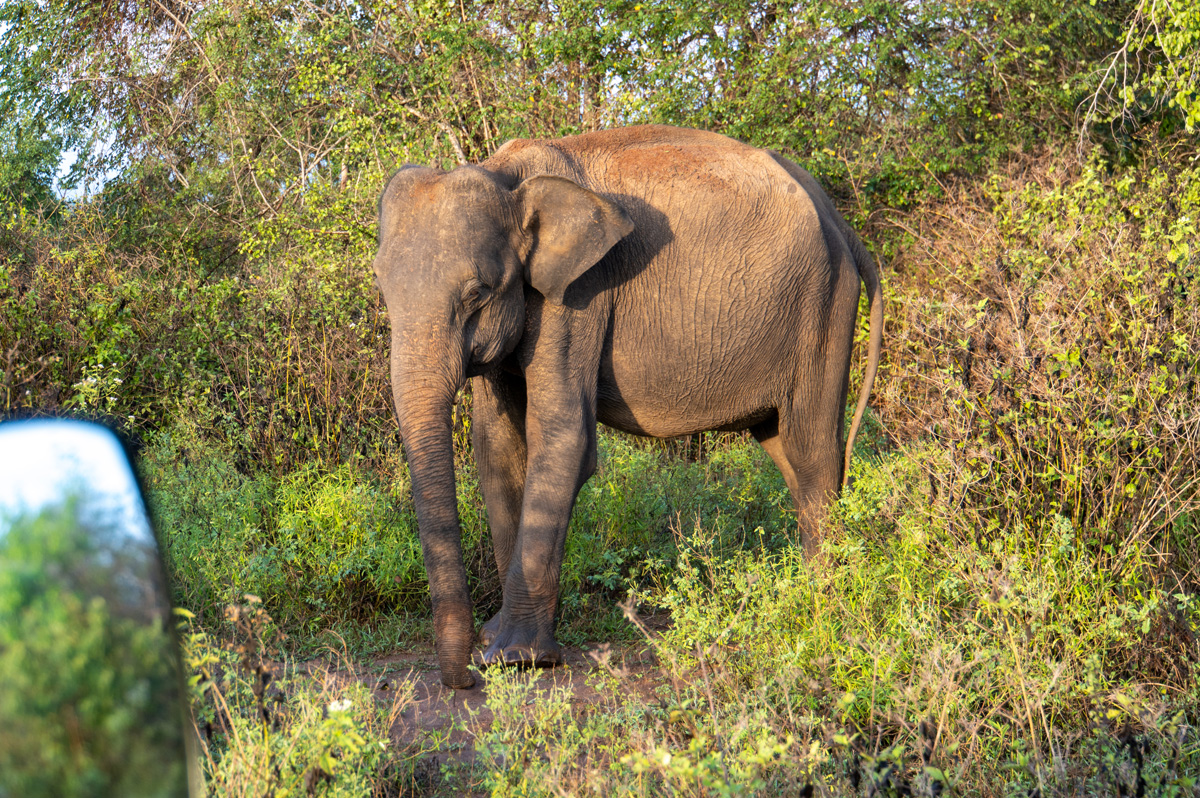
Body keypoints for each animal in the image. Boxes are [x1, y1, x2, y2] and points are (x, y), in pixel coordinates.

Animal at [373, 125, 883, 689]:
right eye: (381, 286)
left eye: (477, 294)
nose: (464, 678)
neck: (507, 176)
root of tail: (840, 220)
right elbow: (498, 449)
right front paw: (498, 642)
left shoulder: (581, 295)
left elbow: (564, 437)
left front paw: (517, 658)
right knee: (787, 454)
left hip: (825, 307)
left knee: (813, 453)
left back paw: (822, 605)